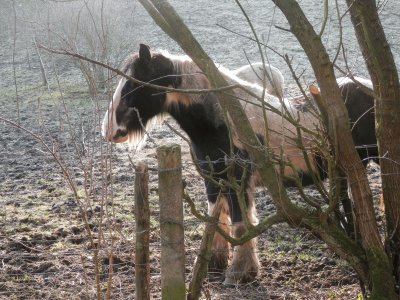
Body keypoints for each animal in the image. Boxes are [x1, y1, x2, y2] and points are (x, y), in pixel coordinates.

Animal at [101, 43, 376, 284]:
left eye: (134, 83)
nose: (108, 129)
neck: (223, 121)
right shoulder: (214, 180)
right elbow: (217, 219)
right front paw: (213, 264)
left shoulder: (239, 183)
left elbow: (241, 224)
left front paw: (240, 273)